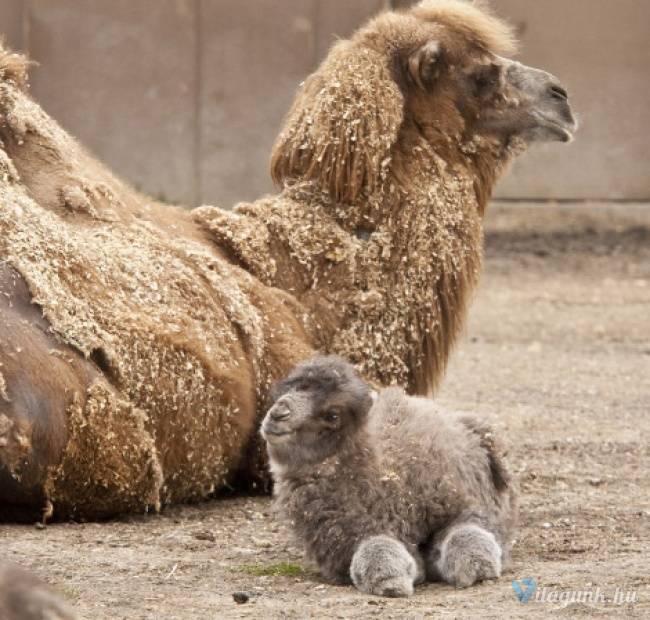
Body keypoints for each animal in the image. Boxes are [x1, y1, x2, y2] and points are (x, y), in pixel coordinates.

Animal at [260, 356, 516, 600]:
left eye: (333, 415)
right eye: (289, 390)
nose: (278, 413)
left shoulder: (463, 505)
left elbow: (465, 532)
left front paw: (478, 567)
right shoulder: (350, 540)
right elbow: (375, 549)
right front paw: (393, 581)